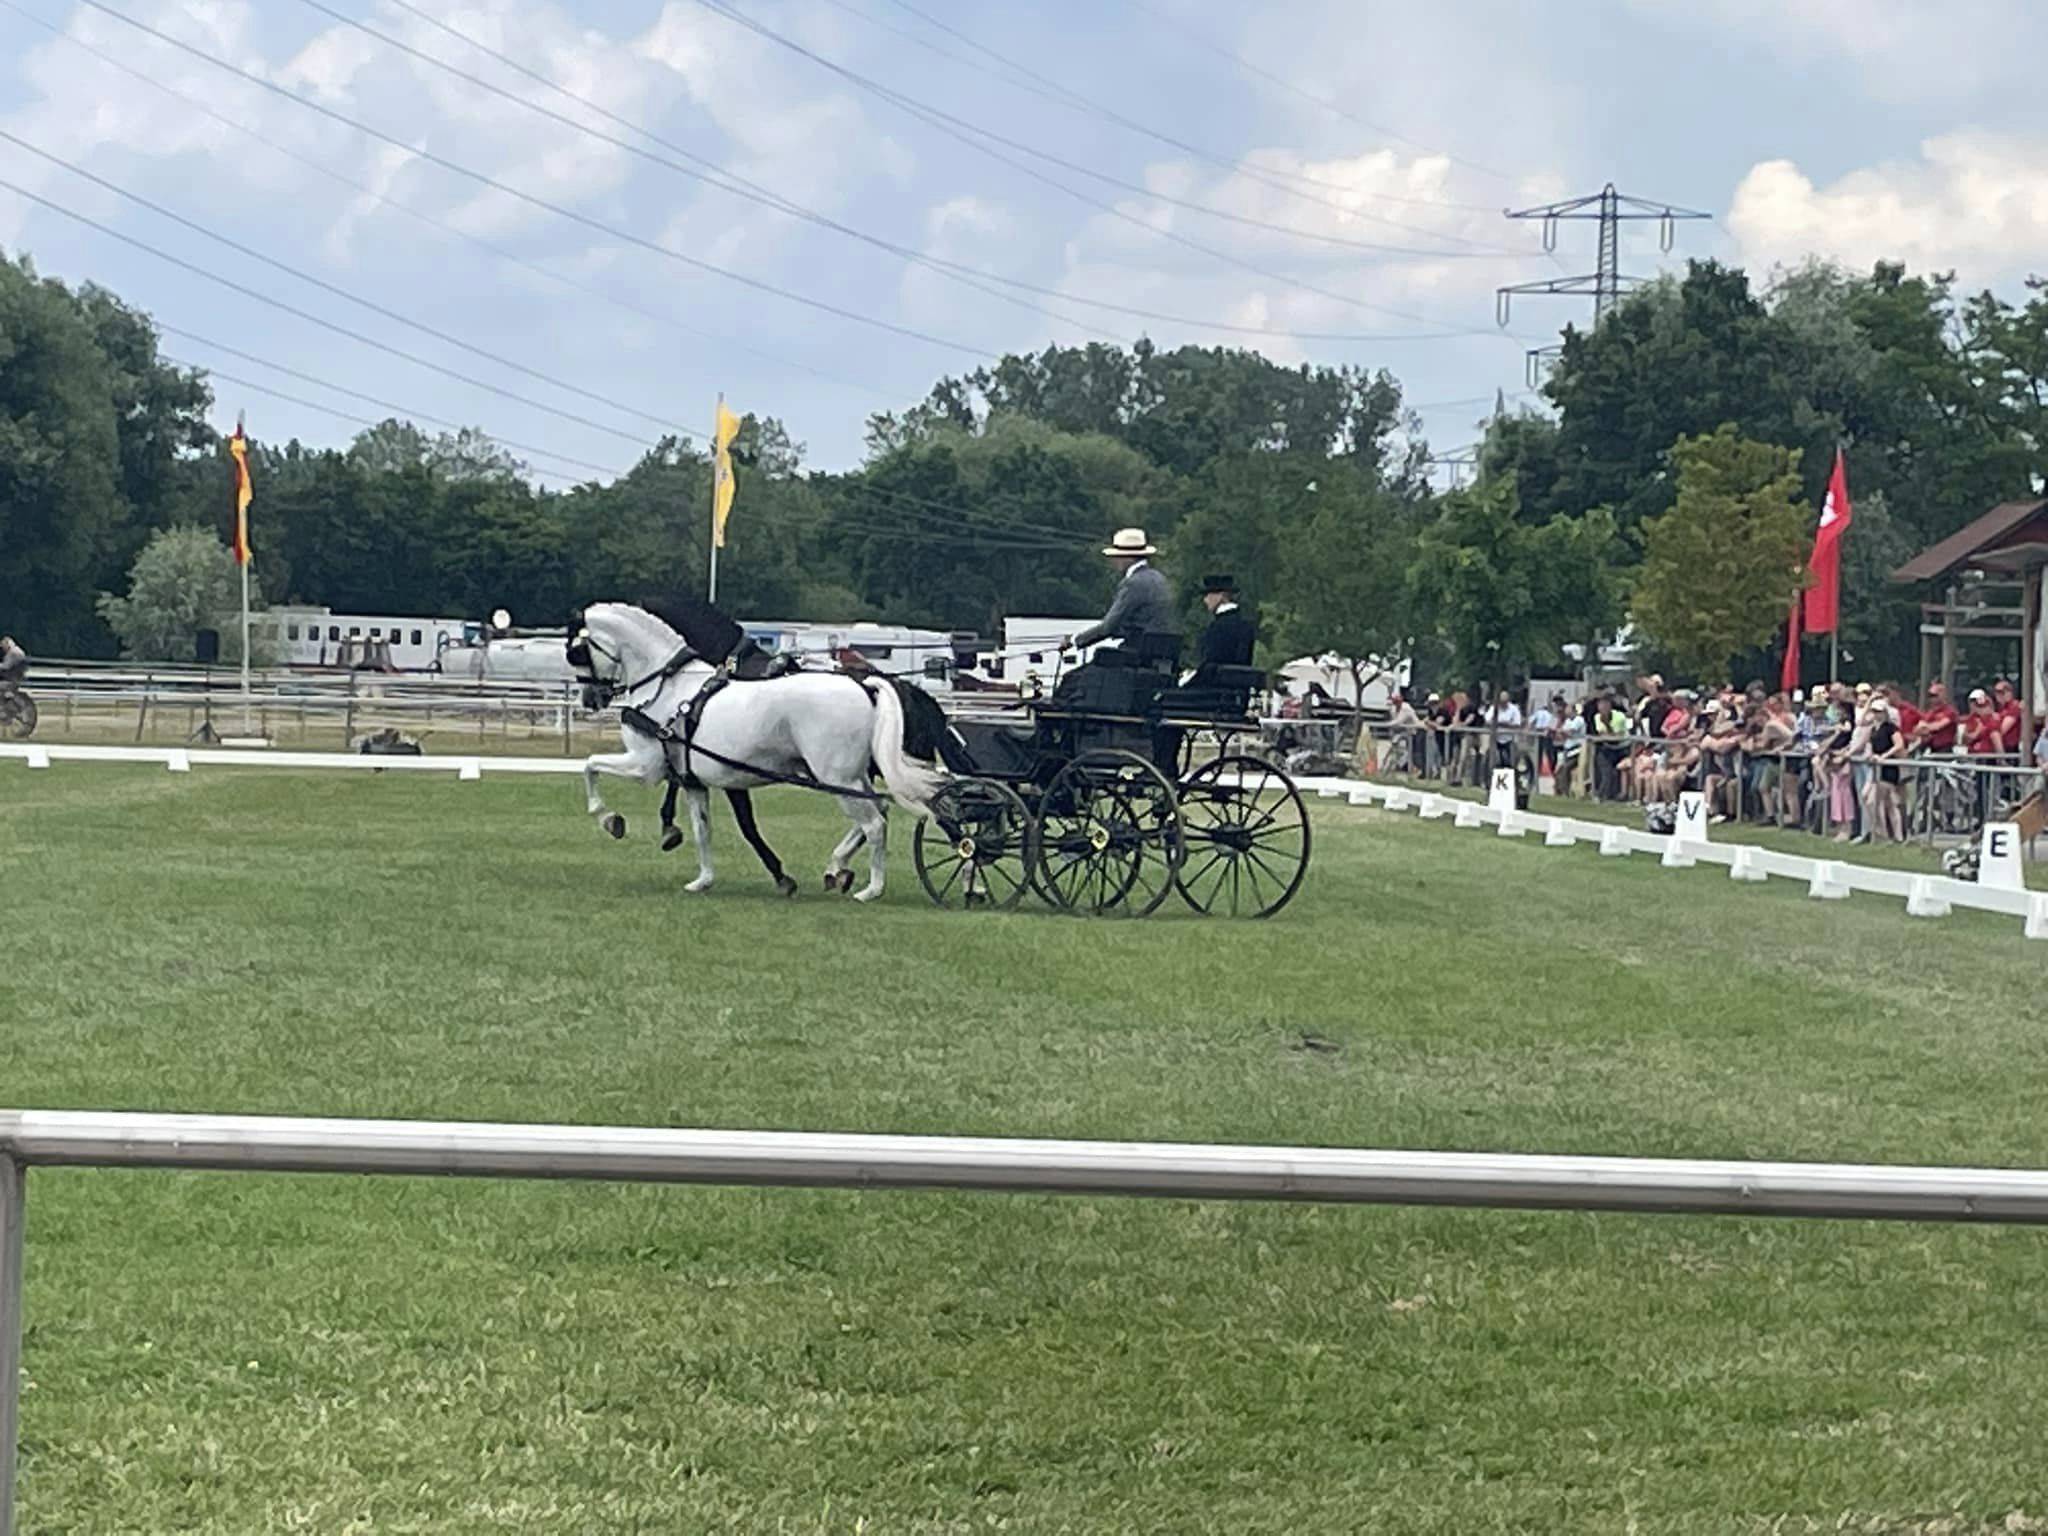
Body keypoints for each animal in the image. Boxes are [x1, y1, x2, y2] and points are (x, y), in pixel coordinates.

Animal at [573, 602, 946, 901]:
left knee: (874, 825)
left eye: (576, 651)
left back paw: (871, 889)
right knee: (879, 811)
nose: (591, 699)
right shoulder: (694, 782)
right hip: (854, 778)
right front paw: (703, 880)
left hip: (837, 778)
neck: (668, 688)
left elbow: (590, 766)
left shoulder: (645, 767)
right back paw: (839, 870)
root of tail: (865, 685)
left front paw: (609, 819)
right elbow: (703, 830)